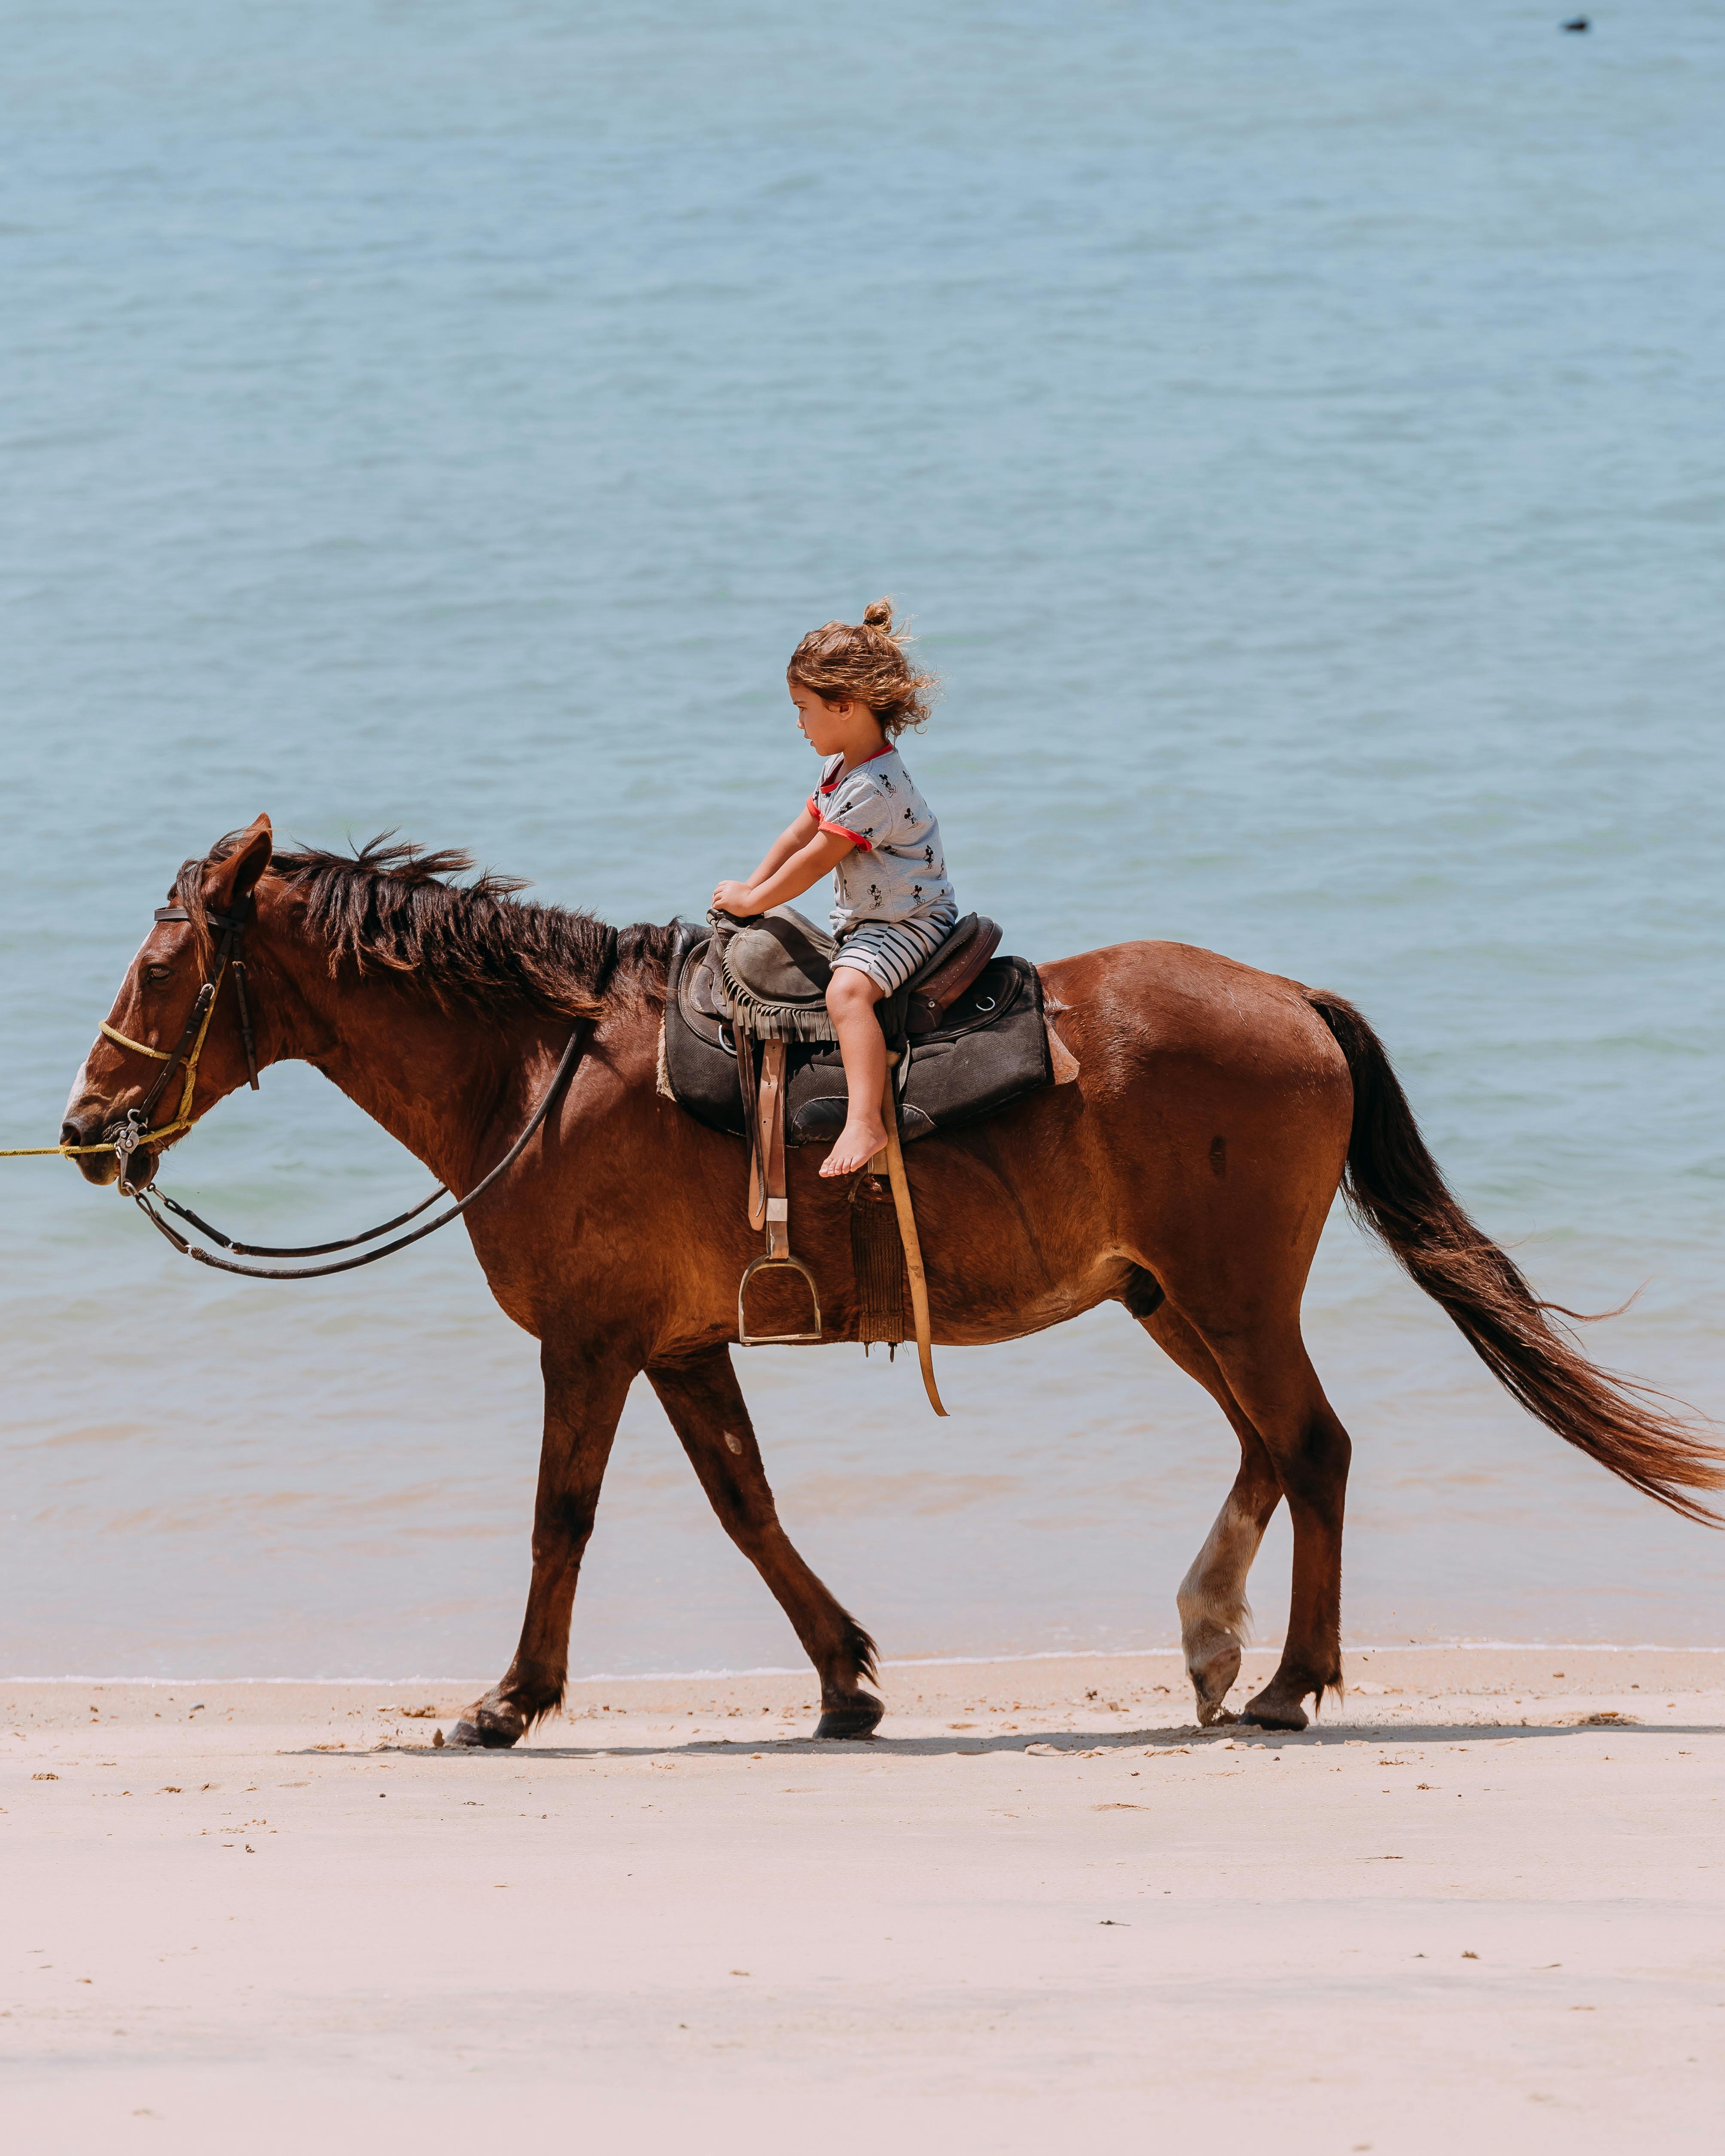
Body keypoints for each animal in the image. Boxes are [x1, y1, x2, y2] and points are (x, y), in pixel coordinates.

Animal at [61, 815, 1716, 1742]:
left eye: (162, 970)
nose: (83, 1127)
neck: (538, 1067)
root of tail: (1290, 998)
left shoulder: (590, 1344)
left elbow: (560, 1520)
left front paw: (509, 1700)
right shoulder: (676, 1345)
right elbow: (746, 1507)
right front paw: (846, 1679)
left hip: (1229, 1293)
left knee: (1311, 1444)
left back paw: (1284, 1679)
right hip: (1167, 1295)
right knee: (1268, 1447)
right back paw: (1211, 1634)